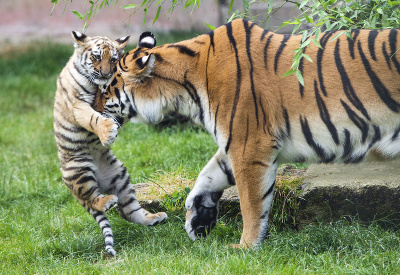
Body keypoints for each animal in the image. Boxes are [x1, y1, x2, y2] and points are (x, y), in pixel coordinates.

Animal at [54, 31, 166, 256]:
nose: (106, 74)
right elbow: (92, 118)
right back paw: (107, 201)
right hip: (80, 171)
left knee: (129, 212)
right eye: (96, 57)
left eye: (113, 59)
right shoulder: (78, 104)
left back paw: (154, 218)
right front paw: (107, 132)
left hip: (119, 175)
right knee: (94, 200)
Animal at [99, 18, 400, 249]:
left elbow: (251, 203)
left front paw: (245, 246)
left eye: (106, 88)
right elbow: (208, 174)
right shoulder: (234, 141)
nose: (92, 106)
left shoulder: (248, 145)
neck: (185, 89)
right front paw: (200, 218)